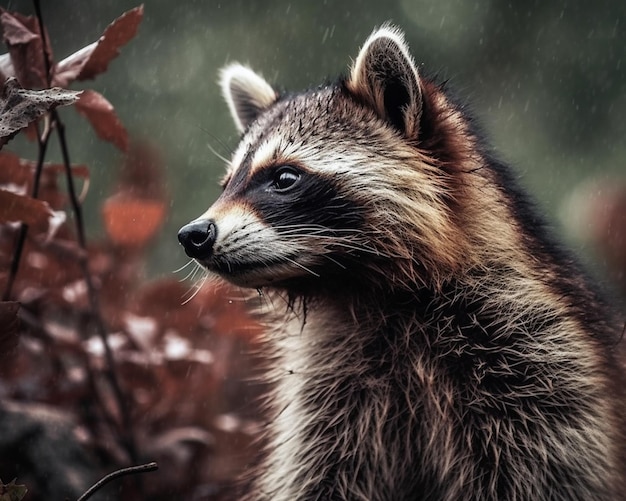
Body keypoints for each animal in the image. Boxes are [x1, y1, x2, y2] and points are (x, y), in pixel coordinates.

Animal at [177, 24, 624, 500]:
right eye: (228, 184)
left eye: (284, 178)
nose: (193, 235)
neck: (366, 292)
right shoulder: (330, 401)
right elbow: (317, 476)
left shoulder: (537, 364)